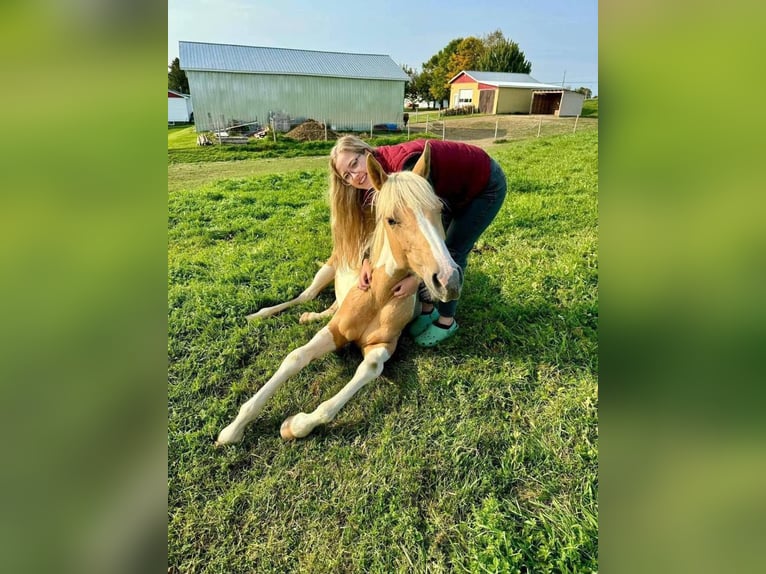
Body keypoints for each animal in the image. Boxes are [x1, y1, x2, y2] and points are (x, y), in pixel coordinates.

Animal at [216, 142, 462, 443]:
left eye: (439, 210)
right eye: (391, 220)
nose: (449, 279)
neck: (378, 295)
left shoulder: (383, 345)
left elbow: (368, 370)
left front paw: (295, 425)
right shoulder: (335, 331)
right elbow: (296, 357)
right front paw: (232, 429)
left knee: (330, 306)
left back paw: (309, 317)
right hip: (325, 272)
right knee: (305, 297)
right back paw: (259, 315)